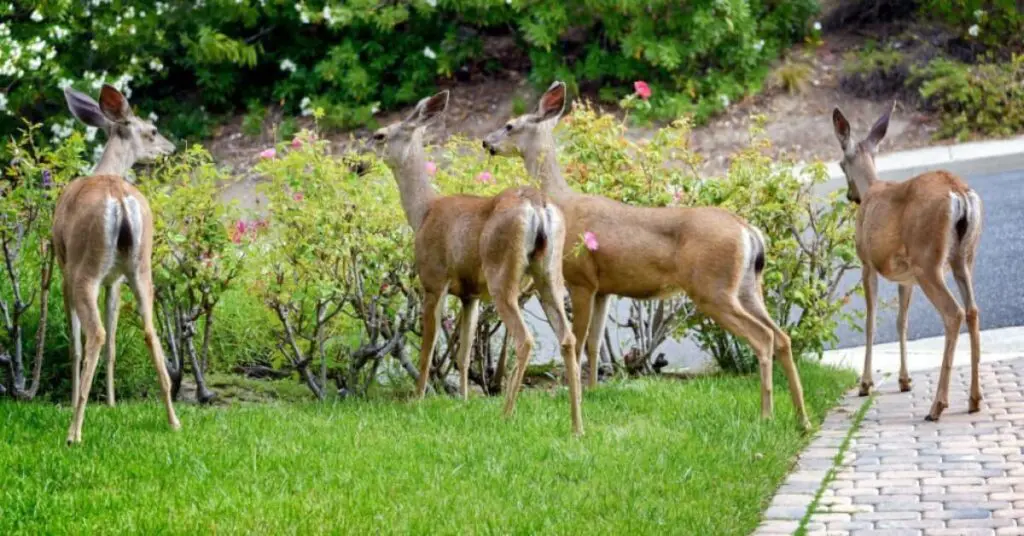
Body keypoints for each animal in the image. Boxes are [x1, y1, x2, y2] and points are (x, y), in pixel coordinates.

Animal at [55, 85, 180, 444]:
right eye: (153, 130)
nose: (171, 147)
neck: (105, 171)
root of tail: (120, 200)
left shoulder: (63, 265)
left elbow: (77, 342)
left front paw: (76, 400)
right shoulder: (115, 280)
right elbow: (113, 338)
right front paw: (110, 403)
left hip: (84, 269)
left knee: (94, 334)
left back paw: (74, 430)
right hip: (140, 268)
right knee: (148, 331)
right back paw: (173, 419)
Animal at [371, 90, 583, 435]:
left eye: (379, 135)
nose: (355, 162)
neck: (423, 212)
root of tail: (538, 205)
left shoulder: (433, 279)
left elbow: (428, 347)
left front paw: (417, 399)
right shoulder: (470, 294)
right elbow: (464, 350)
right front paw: (464, 400)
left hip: (502, 273)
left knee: (523, 339)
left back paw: (506, 415)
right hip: (549, 272)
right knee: (567, 338)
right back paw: (577, 426)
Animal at [483, 82, 811, 430]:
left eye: (510, 125)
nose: (486, 142)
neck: (563, 201)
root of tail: (747, 230)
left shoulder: (581, 278)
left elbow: (579, 338)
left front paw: (578, 396)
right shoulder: (604, 288)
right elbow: (595, 342)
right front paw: (594, 391)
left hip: (713, 288)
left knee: (763, 337)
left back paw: (766, 415)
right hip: (747, 285)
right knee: (782, 336)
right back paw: (801, 418)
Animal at [832, 103, 983, 422]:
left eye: (840, 164)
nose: (851, 196)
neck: (872, 188)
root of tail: (959, 192)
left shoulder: (867, 263)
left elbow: (871, 321)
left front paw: (865, 384)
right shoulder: (906, 276)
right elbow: (902, 321)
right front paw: (904, 380)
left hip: (929, 260)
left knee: (954, 313)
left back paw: (937, 405)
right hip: (963, 258)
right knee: (973, 310)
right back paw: (974, 400)